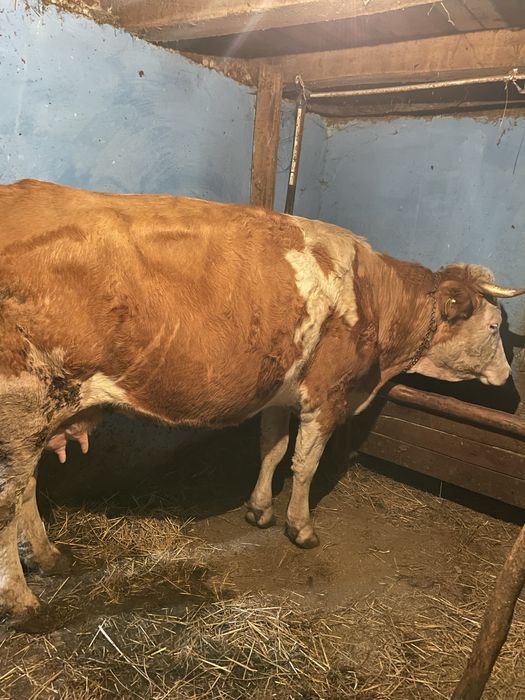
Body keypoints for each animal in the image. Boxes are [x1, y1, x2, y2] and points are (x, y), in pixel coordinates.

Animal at [0, 178, 523, 624]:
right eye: (494, 326)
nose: (506, 378)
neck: (374, 297)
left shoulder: (278, 391)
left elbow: (272, 451)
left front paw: (259, 510)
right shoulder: (326, 395)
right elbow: (305, 465)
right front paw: (300, 527)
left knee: (26, 490)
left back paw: (50, 557)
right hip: (23, 407)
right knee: (9, 502)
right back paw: (24, 602)